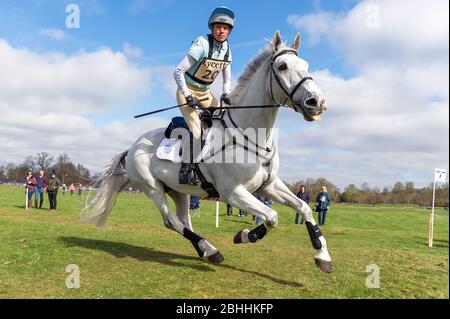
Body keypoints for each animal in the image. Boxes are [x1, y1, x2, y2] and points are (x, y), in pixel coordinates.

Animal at [82, 31, 332, 274]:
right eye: (282, 66)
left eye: (306, 65)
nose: (317, 103)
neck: (252, 135)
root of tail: (132, 146)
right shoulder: (233, 192)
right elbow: (272, 217)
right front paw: (244, 235)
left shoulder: (268, 186)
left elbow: (304, 208)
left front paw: (323, 256)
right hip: (151, 188)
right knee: (172, 221)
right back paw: (211, 250)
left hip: (178, 190)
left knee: (184, 220)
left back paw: (205, 251)